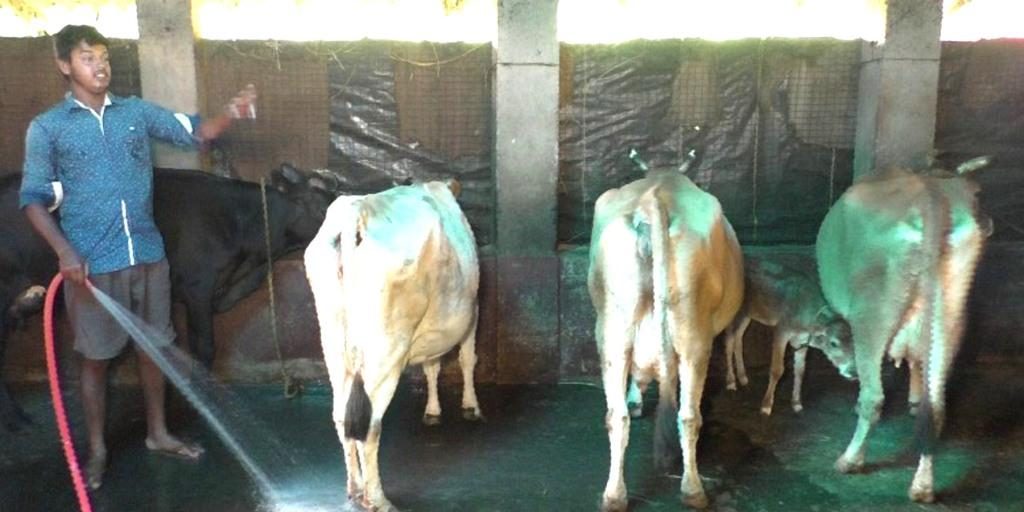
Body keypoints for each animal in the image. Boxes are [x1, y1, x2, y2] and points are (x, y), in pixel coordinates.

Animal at [303, 179, 482, 512]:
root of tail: (356, 211)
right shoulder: (473, 312)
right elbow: (467, 359)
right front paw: (471, 406)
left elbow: (432, 367)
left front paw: (433, 410)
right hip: (384, 352)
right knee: (370, 424)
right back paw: (377, 497)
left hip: (334, 346)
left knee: (341, 416)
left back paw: (354, 487)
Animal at [588, 167, 744, 510]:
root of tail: (654, 196)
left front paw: (635, 398)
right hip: (693, 337)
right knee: (688, 416)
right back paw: (693, 490)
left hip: (613, 330)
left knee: (616, 416)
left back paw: (614, 495)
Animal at [722, 252, 857, 415]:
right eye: (833, 343)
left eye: (855, 343)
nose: (853, 372)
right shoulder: (782, 330)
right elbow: (777, 369)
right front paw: (766, 406)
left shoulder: (803, 340)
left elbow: (800, 371)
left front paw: (797, 403)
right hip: (736, 310)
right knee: (729, 341)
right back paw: (731, 382)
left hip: (749, 314)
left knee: (739, 339)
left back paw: (743, 377)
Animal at [816, 158, 989, 503]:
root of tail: (928, 192)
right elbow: (916, 362)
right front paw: (912, 398)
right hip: (951, 313)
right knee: (936, 407)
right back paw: (923, 487)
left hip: (873, 312)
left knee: (874, 397)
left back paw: (849, 459)